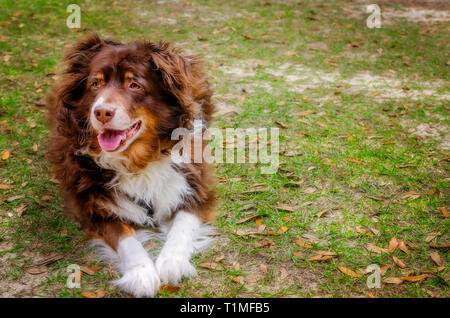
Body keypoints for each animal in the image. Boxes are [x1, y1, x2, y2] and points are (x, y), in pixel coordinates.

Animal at [46, 35, 215, 298]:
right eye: (95, 84)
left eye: (134, 85)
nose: (101, 112)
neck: (138, 160)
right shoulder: (95, 205)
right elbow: (125, 238)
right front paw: (141, 274)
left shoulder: (195, 185)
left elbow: (182, 225)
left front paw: (172, 263)